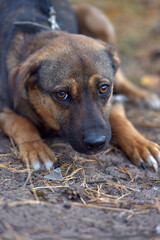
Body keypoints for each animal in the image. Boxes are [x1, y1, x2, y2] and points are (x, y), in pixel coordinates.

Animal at [0, 1, 160, 171]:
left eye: (104, 88)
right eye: (61, 94)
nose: (96, 143)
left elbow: (121, 121)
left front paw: (143, 145)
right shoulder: (4, 112)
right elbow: (22, 123)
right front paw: (36, 149)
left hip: (95, 18)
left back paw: (143, 95)